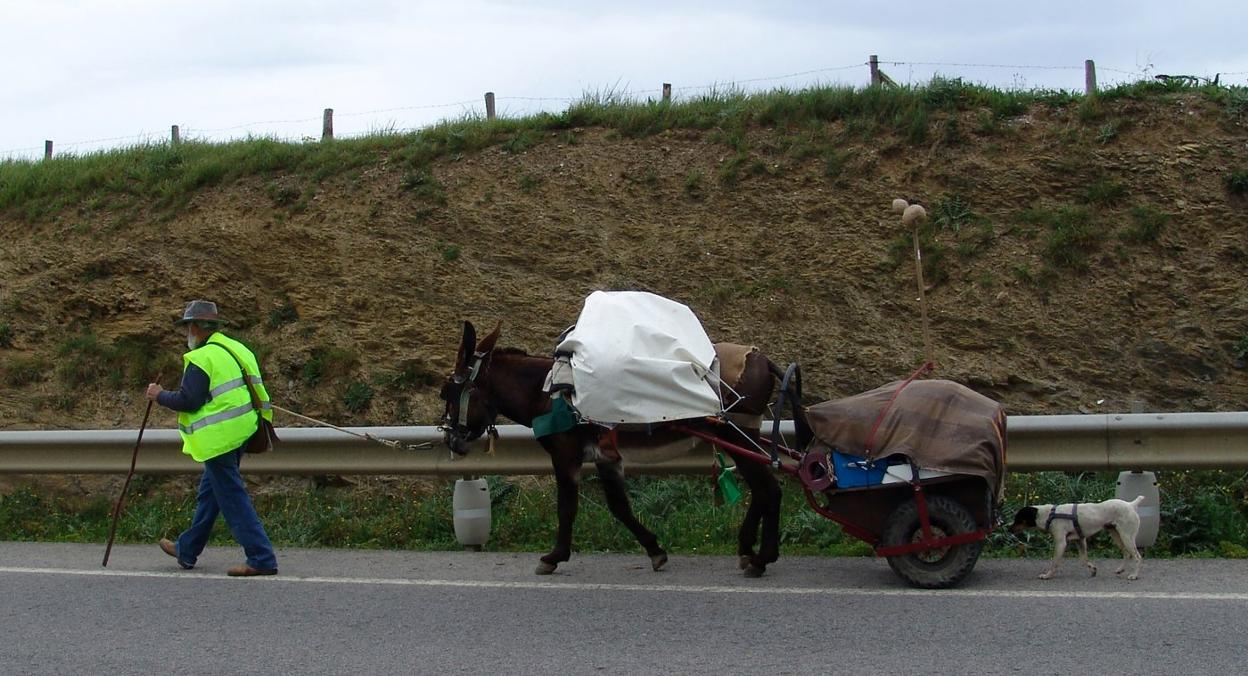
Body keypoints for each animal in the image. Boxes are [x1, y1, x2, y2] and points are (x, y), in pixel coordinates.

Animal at [1008, 498, 1143, 583]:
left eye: (1018, 519)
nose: (1009, 529)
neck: (1049, 515)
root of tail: (1131, 504)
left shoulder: (1061, 543)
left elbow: (1054, 562)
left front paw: (1047, 575)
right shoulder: (1080, 540)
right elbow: (1084, 560)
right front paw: (1092, 569)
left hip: (1127, 536)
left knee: (1137, 556)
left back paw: (1134, 575)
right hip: (1117, 535)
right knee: (1126, 553)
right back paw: (1120, 569)